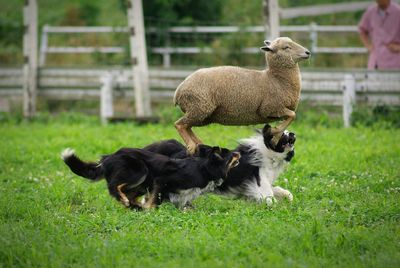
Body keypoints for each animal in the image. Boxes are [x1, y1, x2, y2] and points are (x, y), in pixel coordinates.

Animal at [61, 144, 239, 209]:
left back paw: (134, 206)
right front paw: (150, 210)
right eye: (231, 154)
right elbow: (155, 201)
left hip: (142, 183)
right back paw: (128, 203)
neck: (204, 168)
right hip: (140, 171)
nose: (239, 153)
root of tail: (108, 157)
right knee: (114, 187)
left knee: (129, 195)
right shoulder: (161, 181)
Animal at [173, 37, 310, 153]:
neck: (276, 79)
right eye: (286, 47)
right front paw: (274, 133)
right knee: (179, 125)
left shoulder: (276, 113)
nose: (308, 52)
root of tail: (178, 90)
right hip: (199, 107)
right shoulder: (270, 108)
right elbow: (292, 115)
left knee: (187, 126)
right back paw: (191, 146)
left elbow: (290, 117)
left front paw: (275, 135)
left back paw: (198, 143)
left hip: (204, 115)